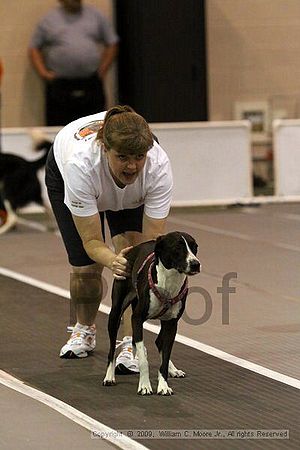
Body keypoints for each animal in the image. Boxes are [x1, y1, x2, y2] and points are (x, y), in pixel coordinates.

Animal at [103, 232, 202, 394]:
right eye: (177, 247)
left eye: (195, 247)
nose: (195, 264)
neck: (169, 282)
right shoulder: (136, 319)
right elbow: (143, 358)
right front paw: (144, 386)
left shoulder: (171, 323)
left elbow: (165, 357)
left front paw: (164, 386)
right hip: (115, 313)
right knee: (111, 349)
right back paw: (109, 377)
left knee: (159, 342)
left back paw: (173, 369)